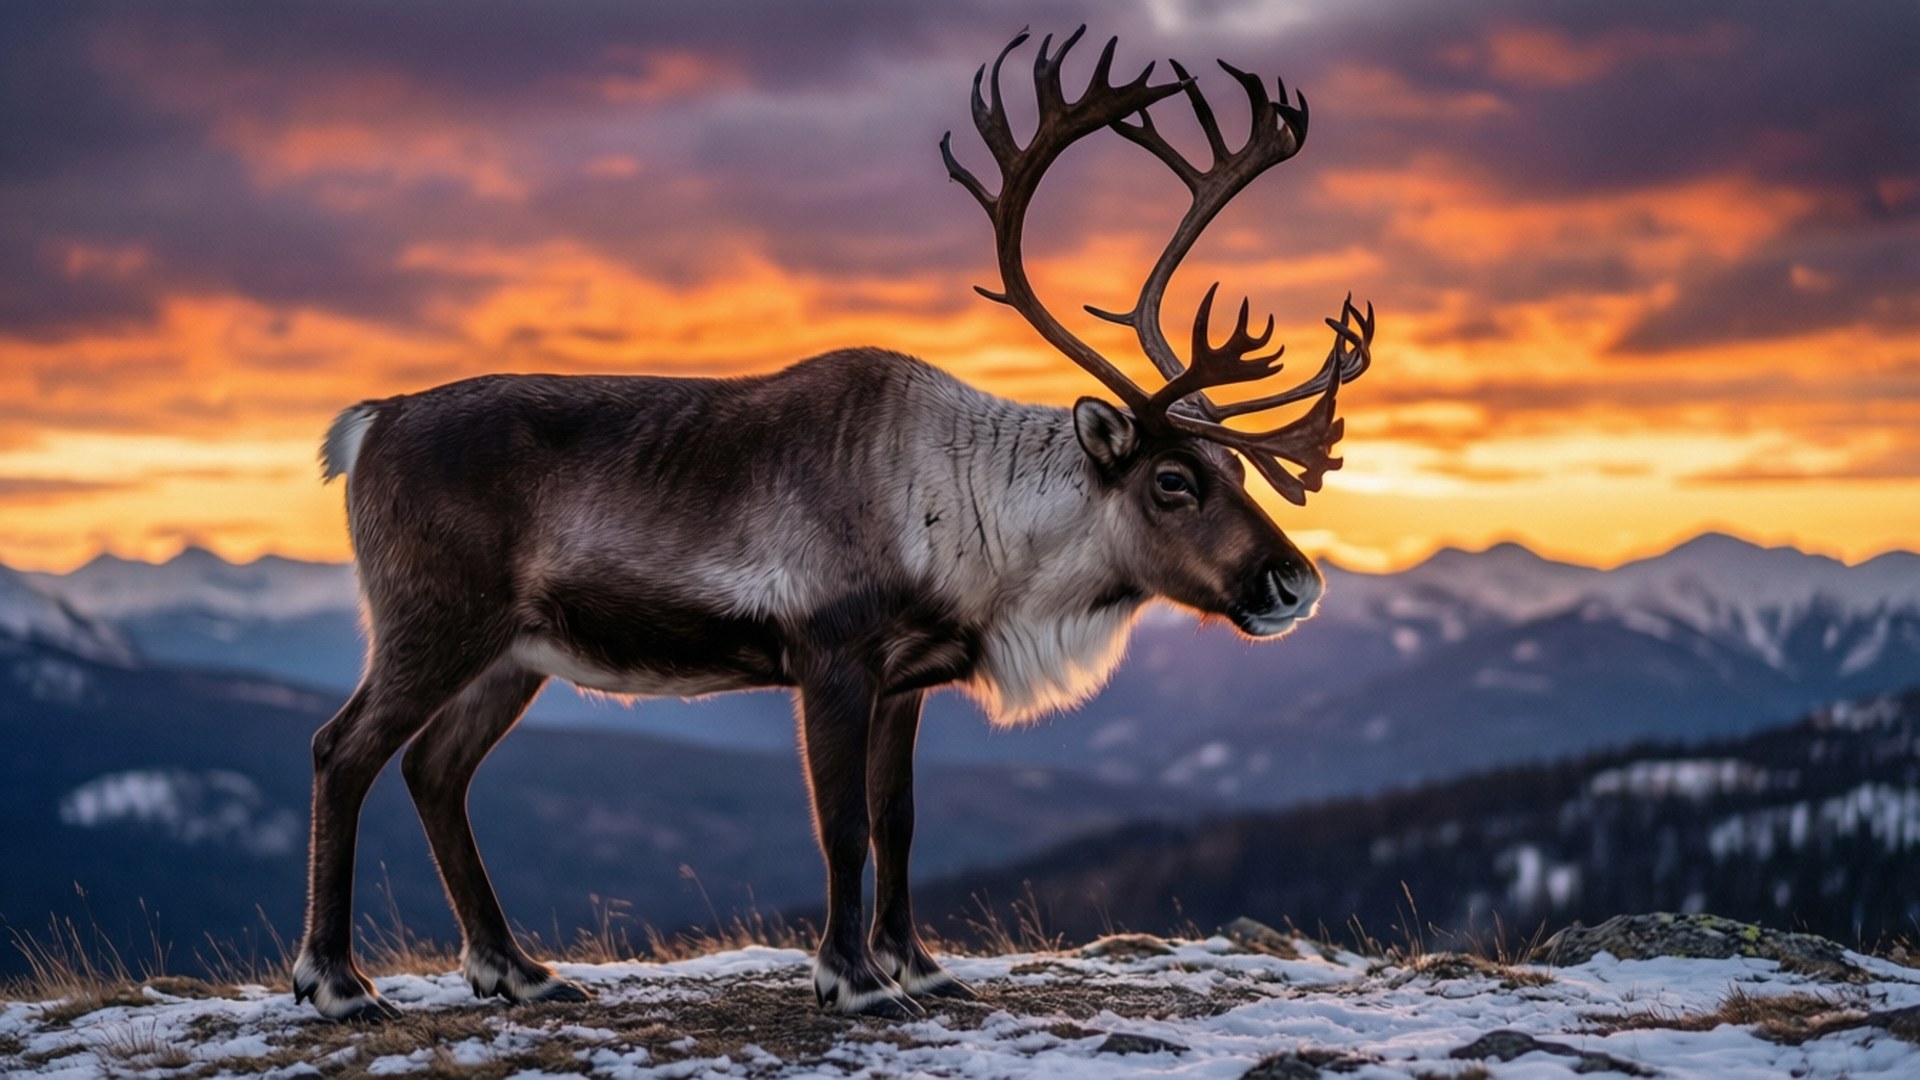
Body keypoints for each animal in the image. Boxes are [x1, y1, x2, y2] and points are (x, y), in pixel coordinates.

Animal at [293, 27, 1373, 1022]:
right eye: (1173, 480)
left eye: (1237, 467)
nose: (1296, 584)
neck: (978, 527)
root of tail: (374, 421)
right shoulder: (831, 656)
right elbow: (842, 824)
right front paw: (849, 979)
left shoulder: (908, 678)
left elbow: (898, 818)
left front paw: (919, 967)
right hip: (433, 621)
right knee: (343, 750)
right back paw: (338, 983)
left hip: (514, 653)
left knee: (434, 769)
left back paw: (516, 971)